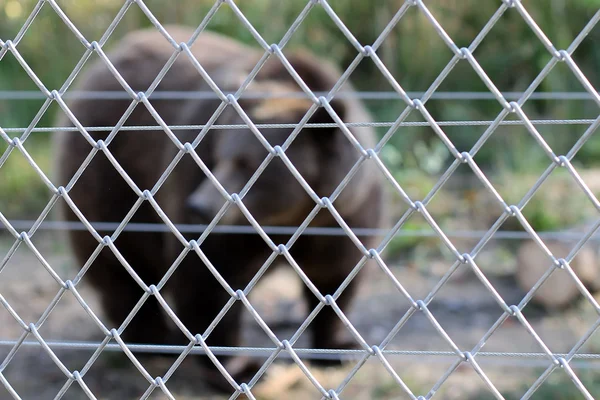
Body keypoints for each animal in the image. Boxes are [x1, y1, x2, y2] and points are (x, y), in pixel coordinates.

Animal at [52, 25, 390, 394]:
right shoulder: (203, 186)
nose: (199, 206)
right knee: (119, 263)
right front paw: (240, 368)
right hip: (108, 173)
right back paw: (154, 340)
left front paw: (338, 347)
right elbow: (209, 279)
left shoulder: (345, 213)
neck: (288, 218)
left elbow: (335, 277)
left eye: (246, 164)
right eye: (221, 158)